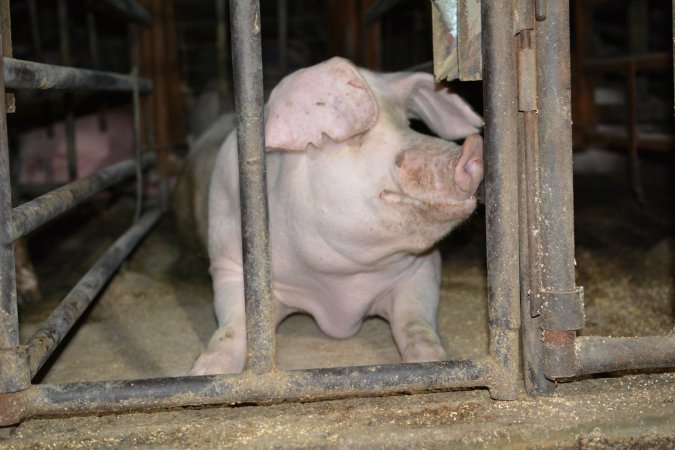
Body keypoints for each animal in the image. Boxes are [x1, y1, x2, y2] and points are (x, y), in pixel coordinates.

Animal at [177, 57, 486, 376]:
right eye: (359, 137)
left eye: (409, 125)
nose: (474, 148)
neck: (343, 290)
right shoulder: (230, 265)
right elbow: (235, 327)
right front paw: (205, 371)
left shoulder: (423, 268)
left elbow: (416, 324)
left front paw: (433, 361)